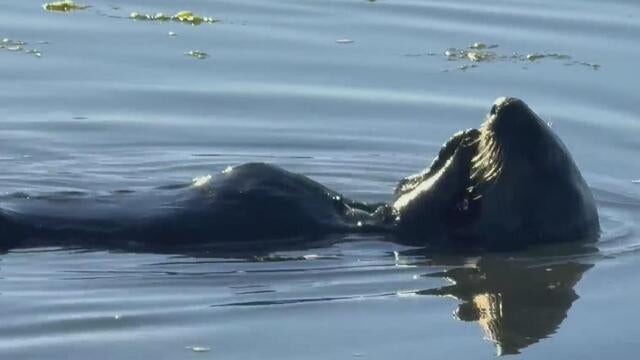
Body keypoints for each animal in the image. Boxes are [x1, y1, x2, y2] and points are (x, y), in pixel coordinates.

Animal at [0, 98, 600, 250]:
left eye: (543, 154)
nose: (503, 106)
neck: (363, 222)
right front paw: (456, 142)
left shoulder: (418, 228)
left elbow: (426, 207)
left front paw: (461, 159)